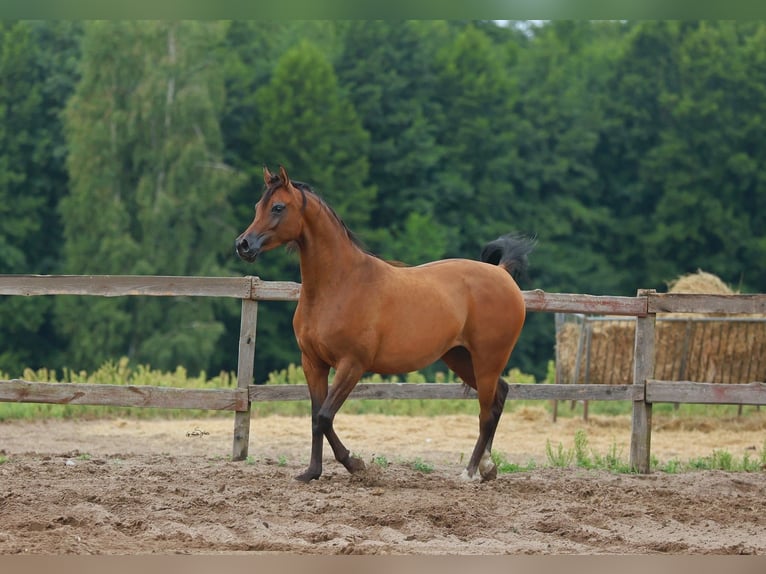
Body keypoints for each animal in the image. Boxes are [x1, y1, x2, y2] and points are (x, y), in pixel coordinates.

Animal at [236, 165, 536, 482]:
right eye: (258, 206)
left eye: (278, 207)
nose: (243, 245)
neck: (339, 284)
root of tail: (502, 273)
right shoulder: (313, 363)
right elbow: (316, 417)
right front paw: (311, 472)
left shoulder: (352, 364)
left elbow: (325, 417)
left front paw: (355, 464)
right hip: (461, 358)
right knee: (500, 395)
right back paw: (488, 468)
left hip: (487, 359)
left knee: (486, 413)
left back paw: (469, 472)